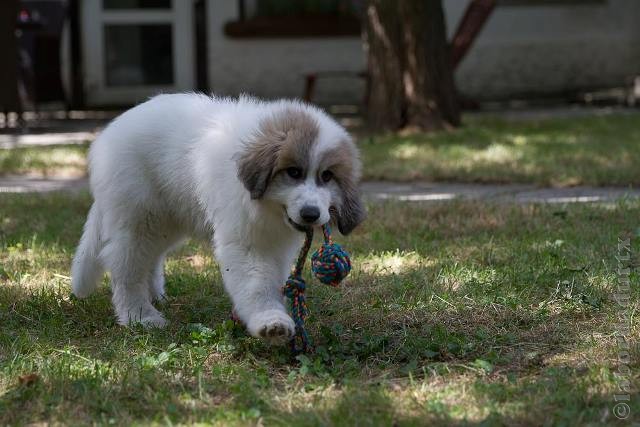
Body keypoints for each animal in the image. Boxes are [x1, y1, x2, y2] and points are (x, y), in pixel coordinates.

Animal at [70, 93, 364, 344]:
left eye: (327, 176)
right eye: (293, 172)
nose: (311, 214)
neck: (267, 207)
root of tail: (112, 130)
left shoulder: (276, 245)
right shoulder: (245, 243)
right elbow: (256, 284)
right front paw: (270, 321)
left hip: (167, 220)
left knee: (150, 257)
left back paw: (155, 295)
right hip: (138, 218)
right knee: (125, 268)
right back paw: (140, 315)